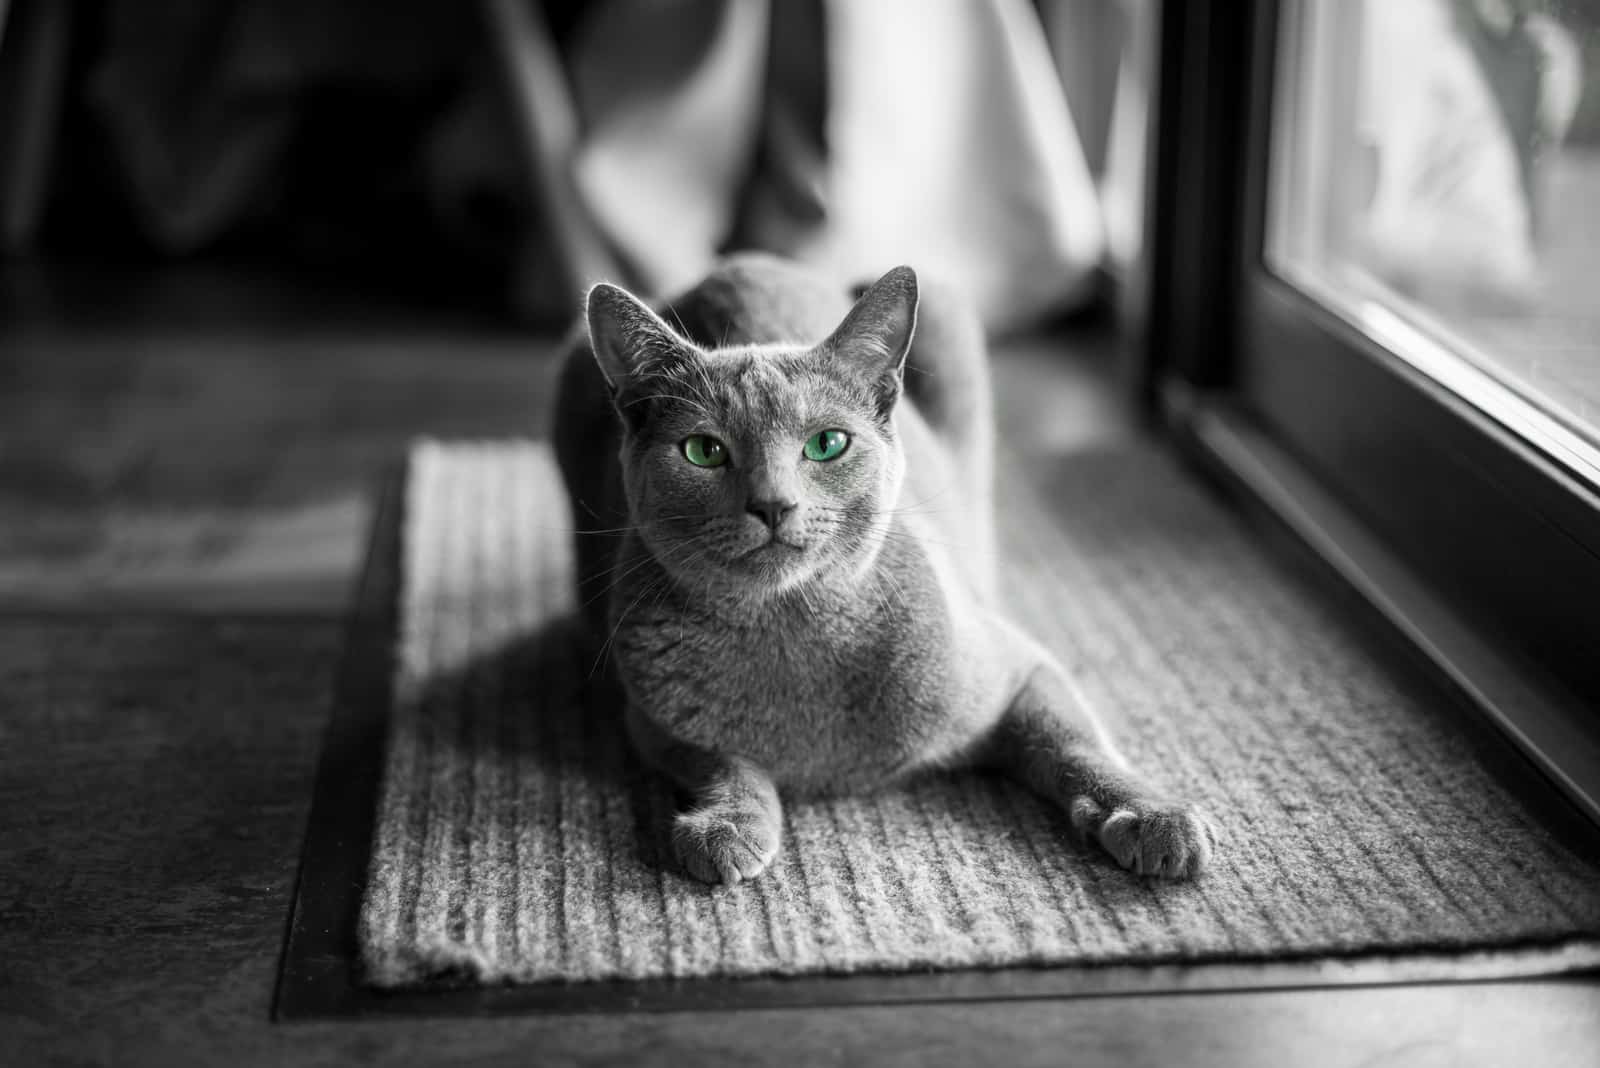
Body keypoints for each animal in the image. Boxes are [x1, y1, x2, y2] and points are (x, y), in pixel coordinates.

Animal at [553, 252, 1209, 882]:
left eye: (826, 445)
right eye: (703, 451)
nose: (773, 504)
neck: (791, 628)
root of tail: (739, 262)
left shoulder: (1020, 667)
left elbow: (1074, 743)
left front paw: (1153, 816)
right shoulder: (650, 719)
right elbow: (718, 756)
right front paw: (728, 825)